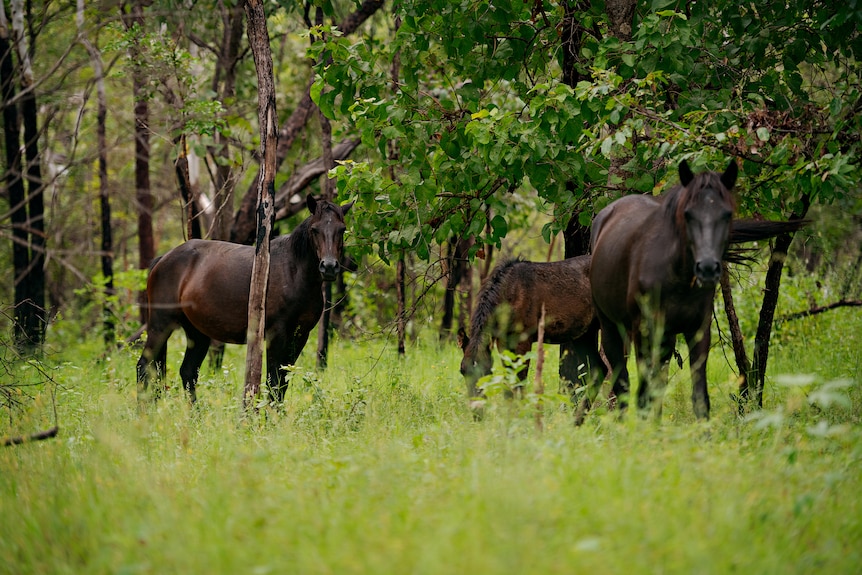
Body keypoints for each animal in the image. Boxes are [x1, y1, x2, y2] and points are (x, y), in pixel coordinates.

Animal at [137, 196, 352, 402]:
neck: (293, 272)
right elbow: (273, 380)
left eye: (342, 229)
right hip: (160, 326)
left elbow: (282, 382)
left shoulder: (300, 336)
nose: (329, 267)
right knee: (143, 367)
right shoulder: (276, 334)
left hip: (196, 333)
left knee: (187, 372)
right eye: (315, 229)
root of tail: (163, 259)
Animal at [460, 256, 608, 404]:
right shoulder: (502, 342)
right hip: (585, 334)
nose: (476, 405)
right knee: (599, 368)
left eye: (486, 371)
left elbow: (519, 381)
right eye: (462, 370)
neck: (508, 297)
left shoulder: (524, 339)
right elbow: (509, 383)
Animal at [572, 160, 808, 426]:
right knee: (622, 384)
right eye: (688, 214)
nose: (707, 268)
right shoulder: (644, 332)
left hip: (664, 339)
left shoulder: (697, 331)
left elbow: (699, 398)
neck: (675, 276)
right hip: (614, 328)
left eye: (727, 214)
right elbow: (641, 394)